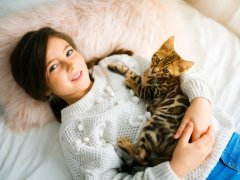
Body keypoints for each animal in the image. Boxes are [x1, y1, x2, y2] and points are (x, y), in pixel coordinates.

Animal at [108, 36, 194, 167]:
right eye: (158, 59)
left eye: (165, 70)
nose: (154, 69)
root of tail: (171, 153)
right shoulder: (143, 78)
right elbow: (131, 72)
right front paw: (115, 66)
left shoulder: (151, 93)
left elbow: (138, 86)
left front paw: (129, 81)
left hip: (154, 124)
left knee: (143, 158)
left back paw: (125, 144)